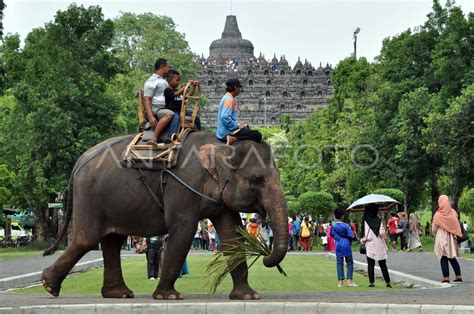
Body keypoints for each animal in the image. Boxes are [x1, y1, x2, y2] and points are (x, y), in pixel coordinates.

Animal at [42, 131, 288, 300]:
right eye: (257, 181)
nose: (266, 257)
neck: (220, 146)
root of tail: (79, 161)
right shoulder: (183, 187)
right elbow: (184, 230)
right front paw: (169, 296)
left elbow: (231, 235)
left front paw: (249, 296)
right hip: (90, 197)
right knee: (87, 239)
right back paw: (48, 285)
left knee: (112, 241)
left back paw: (118, 294)